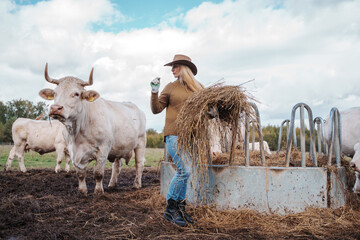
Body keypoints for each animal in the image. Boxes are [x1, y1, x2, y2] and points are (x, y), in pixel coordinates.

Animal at [38, 63, 146, 195]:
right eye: (54, 93)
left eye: (76, 94)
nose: (55, 108)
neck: (78, 131)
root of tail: (135, 107)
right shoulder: (73, 151)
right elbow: (80, 174)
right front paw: (82, 191)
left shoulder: (103, 149)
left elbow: (98, 173)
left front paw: (98, 191)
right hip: (119, 148)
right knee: (117, 166)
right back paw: (112, 185)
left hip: (140, 142)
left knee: (139, 164)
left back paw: (136, 184)